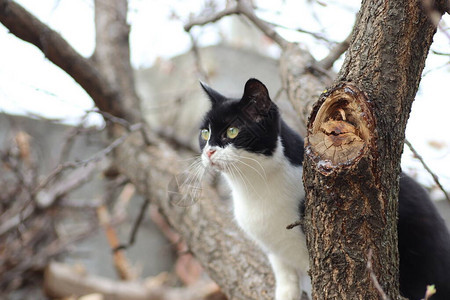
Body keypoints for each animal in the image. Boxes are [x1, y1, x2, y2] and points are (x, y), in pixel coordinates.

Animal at [199, 78, 450, 300]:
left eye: (232, 131)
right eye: (205, 133)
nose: (208, 151)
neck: (253, 186)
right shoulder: (274, 249)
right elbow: (283, 271)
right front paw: (286, 293)